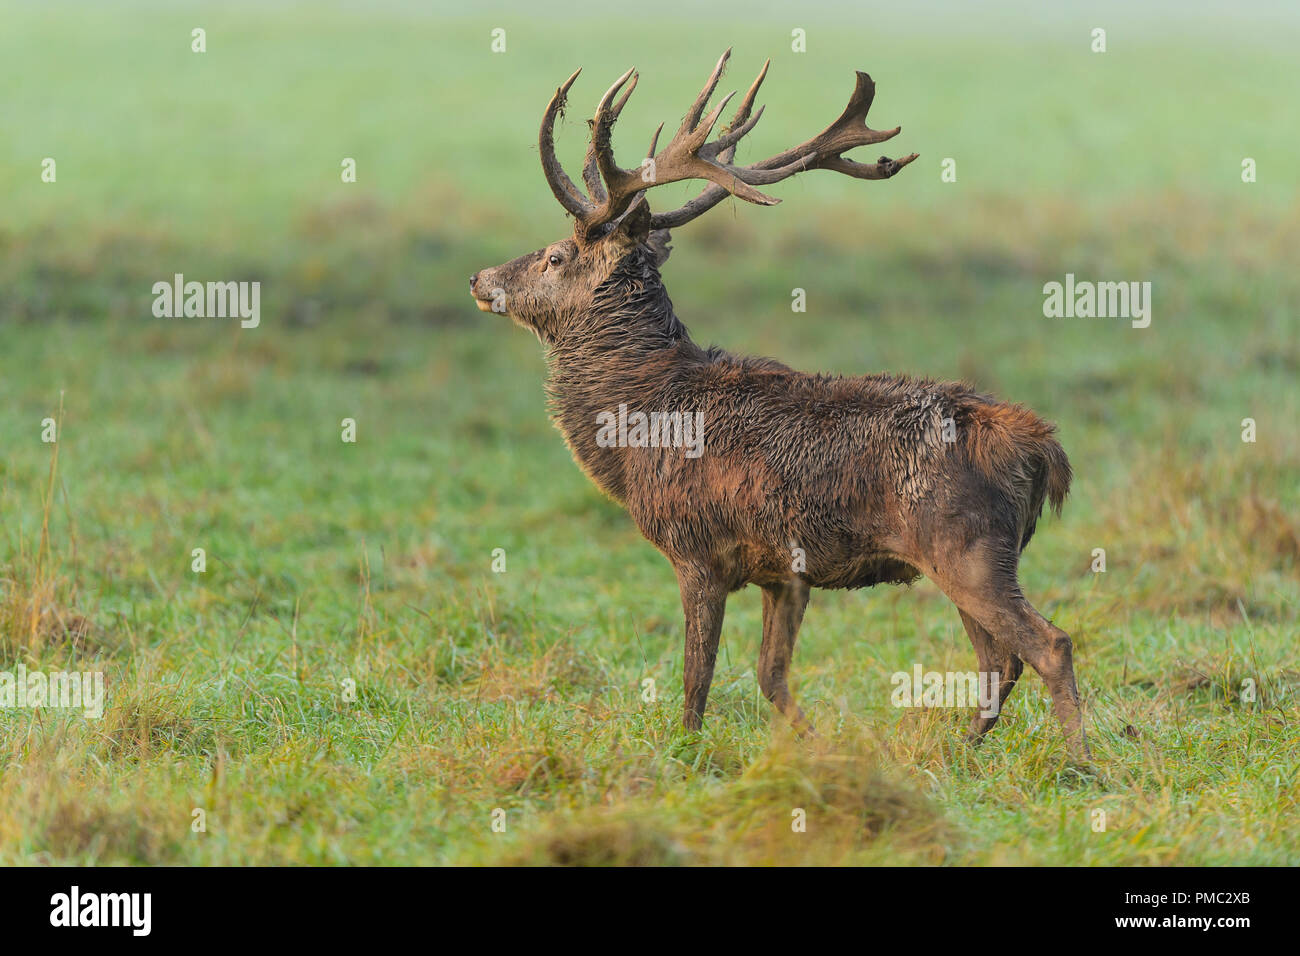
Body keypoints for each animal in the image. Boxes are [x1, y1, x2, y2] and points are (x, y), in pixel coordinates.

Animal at [467, 52, 1086, 759]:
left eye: (555, 255)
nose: (481, 279)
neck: (636, 423)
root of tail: (1042, 448)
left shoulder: (696, 547)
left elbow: (696, 677)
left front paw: (684, 754)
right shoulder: (783, 572)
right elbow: (771, 675)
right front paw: (819, 749)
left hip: (968, 546)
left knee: (1048, 644)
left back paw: (1079, 764)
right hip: (965, 554)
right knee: (998, 660)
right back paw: (956, 752)